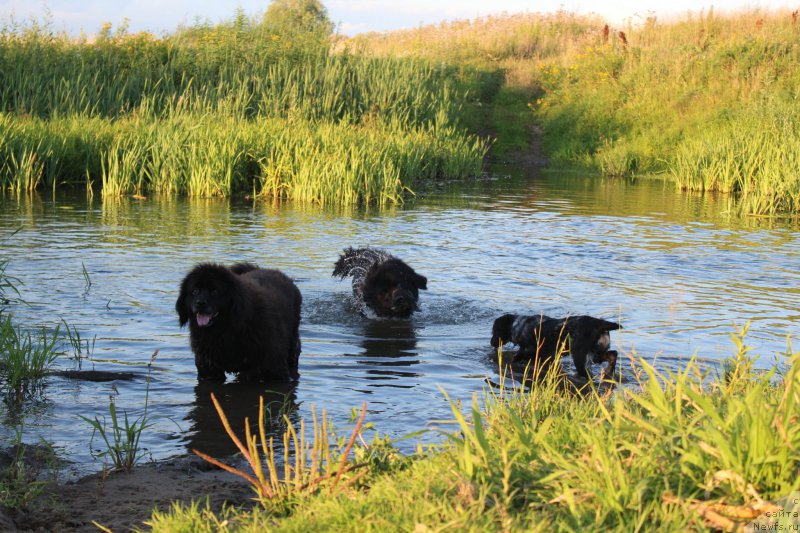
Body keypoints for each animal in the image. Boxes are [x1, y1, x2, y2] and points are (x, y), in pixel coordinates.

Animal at [490, 312, 620, 378]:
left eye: (494, 329)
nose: (491, 342)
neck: (519, 326)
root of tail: (601, 324)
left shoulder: (526, 352)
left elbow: (513, 359)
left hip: (581, 357)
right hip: (597, 354)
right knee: (613, 354)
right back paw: (608, 372)